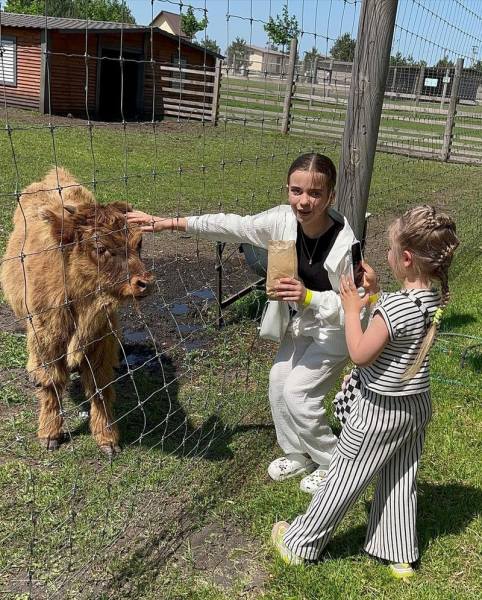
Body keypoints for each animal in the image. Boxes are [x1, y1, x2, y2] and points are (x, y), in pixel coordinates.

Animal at [0, 166, 154, 458]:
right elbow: (52, 383)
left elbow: (100, 387)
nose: (145, 283)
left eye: (140, 243)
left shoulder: (102, 336)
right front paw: (50, 434)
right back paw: (33, 371)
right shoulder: (47, 335)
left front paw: (107, 439)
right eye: (101, 248)